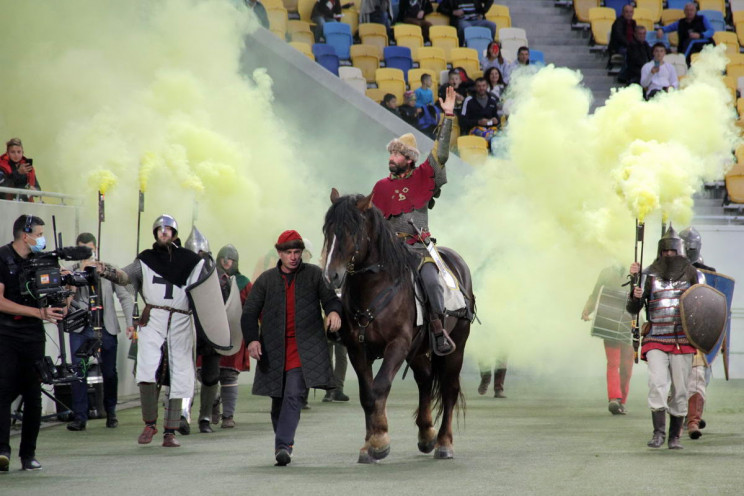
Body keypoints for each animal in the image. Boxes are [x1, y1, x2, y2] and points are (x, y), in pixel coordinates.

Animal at [322, 187, 474, 462]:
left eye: (352, 230)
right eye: (328, 230)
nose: (332, 276)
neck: (375, 286)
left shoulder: (397, 345)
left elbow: (380, 387)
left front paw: (380, 440)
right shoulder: (358, 350)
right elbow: (367, 394)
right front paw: (368, 444)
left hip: (456, 343)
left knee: (449, 389)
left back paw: (444, 443)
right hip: (418, 349)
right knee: (425, 380)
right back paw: (426, 435)